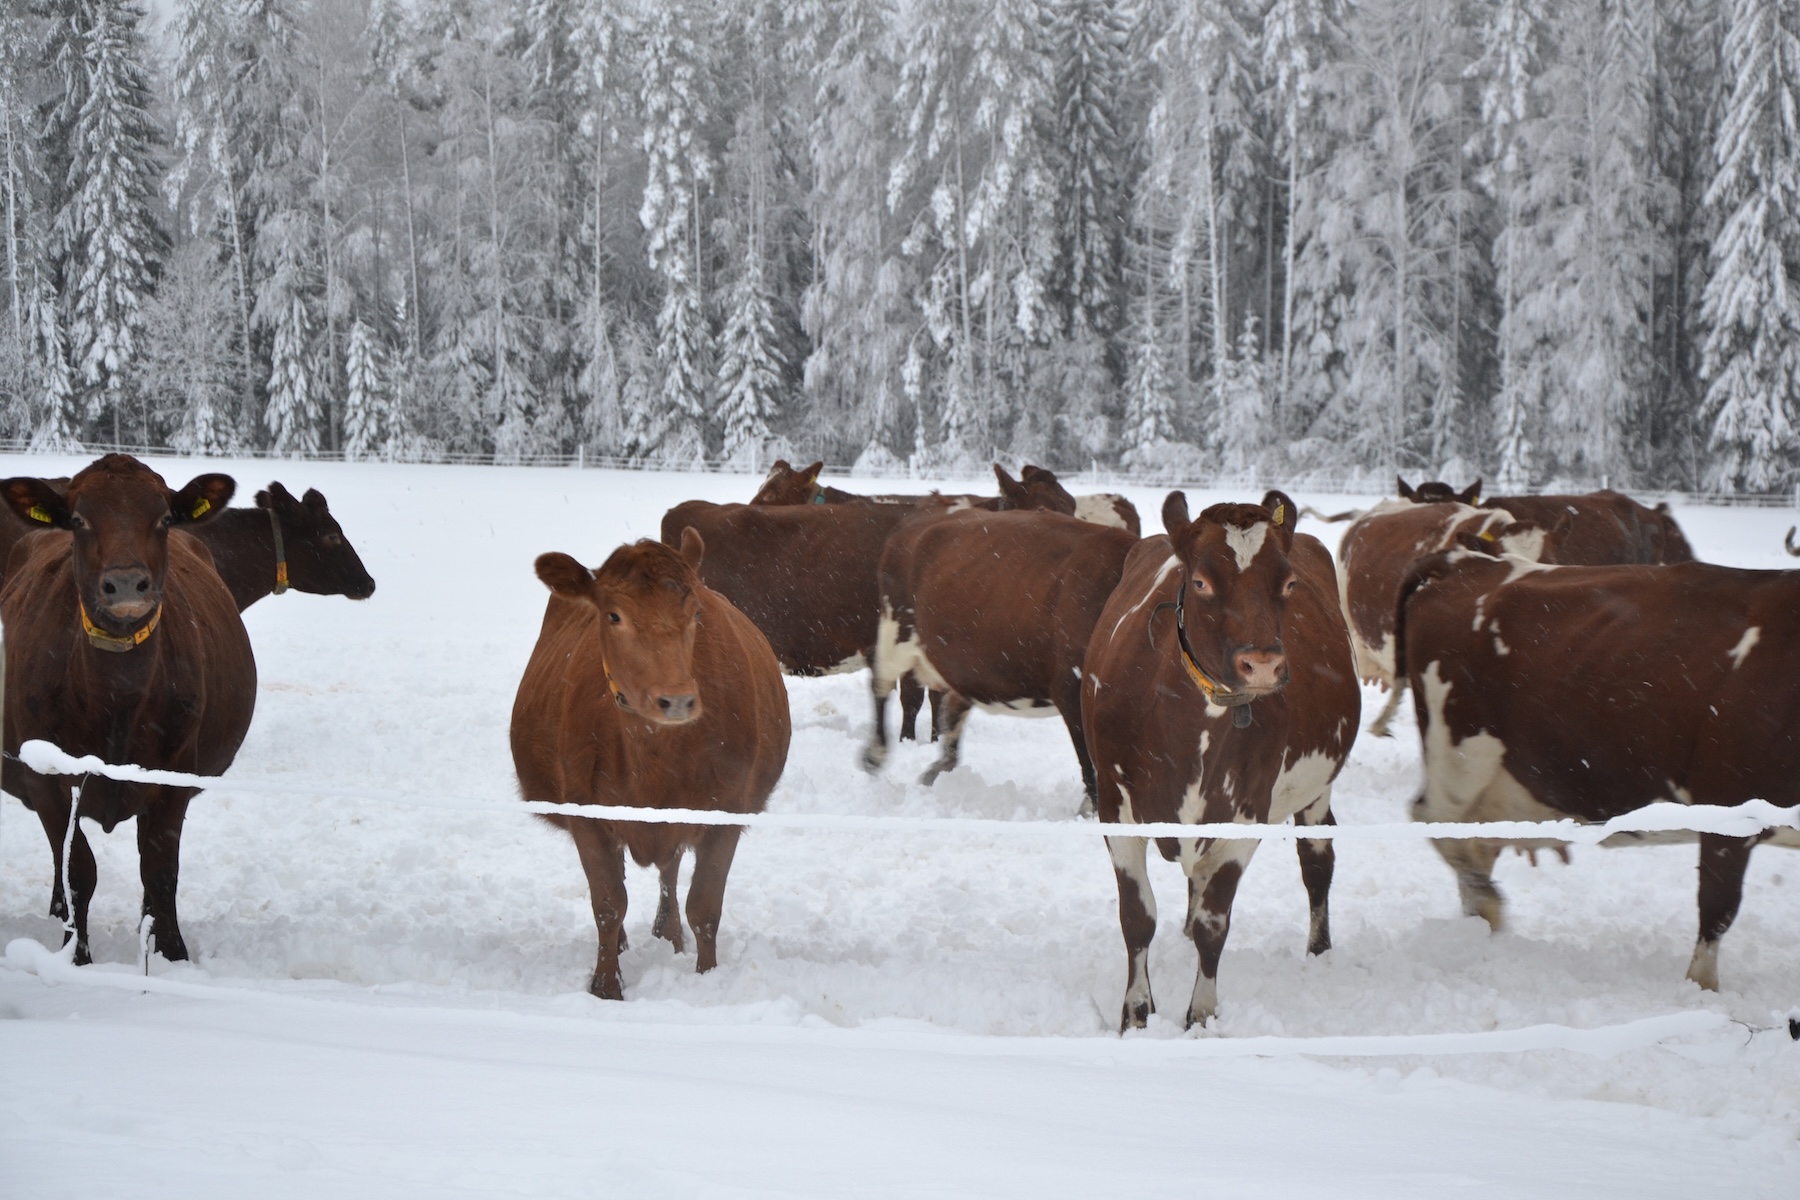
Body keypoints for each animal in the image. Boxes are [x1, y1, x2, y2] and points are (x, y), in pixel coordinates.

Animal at [0, 455, 255, 965]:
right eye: (79, 520)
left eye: (164, 519)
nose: (125, 584)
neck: (115, 698)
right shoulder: (45, 779)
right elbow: (78, 870)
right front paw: (76, 957)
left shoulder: (175, 775)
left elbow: (159, 870)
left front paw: (174, 957)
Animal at [510, 532, 790, 999]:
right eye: (613, 615)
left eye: (695, 613)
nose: (675, 699)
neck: (654, 758)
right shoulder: (585, 813)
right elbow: (608, 902)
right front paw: (606, 985)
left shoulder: (726, 811)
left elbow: (705, 906)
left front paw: (707, 979)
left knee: (670, 869)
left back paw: (668, 934)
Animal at [862, 507, 1137, 816]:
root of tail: (913, 524)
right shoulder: (1073, 689)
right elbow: (1091, 765)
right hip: (896, 630)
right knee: (881, 684)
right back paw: (875, 754)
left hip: (960, 662)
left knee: (953, 707)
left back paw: (937, 770)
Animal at [1082, 491, 1360, 1029]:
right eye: (1201, 582)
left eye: (1288, 583)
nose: (1264, 665)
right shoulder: (1114, 806)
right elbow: (1137, 916)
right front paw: (1136, 1014)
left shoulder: (1245, 816)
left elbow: (1215, 924)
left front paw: (1202, 1017)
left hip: (1316, 788)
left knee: (1317, 859)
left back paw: (1319, 949)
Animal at [1396, 546, 1800, 991]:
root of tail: (1466, 560)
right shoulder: (1729, 808)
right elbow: (1718, 907)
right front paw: (1702, 990)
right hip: (1460, 755)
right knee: (1434, 820)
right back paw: (1486, 903)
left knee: (1474, 839)